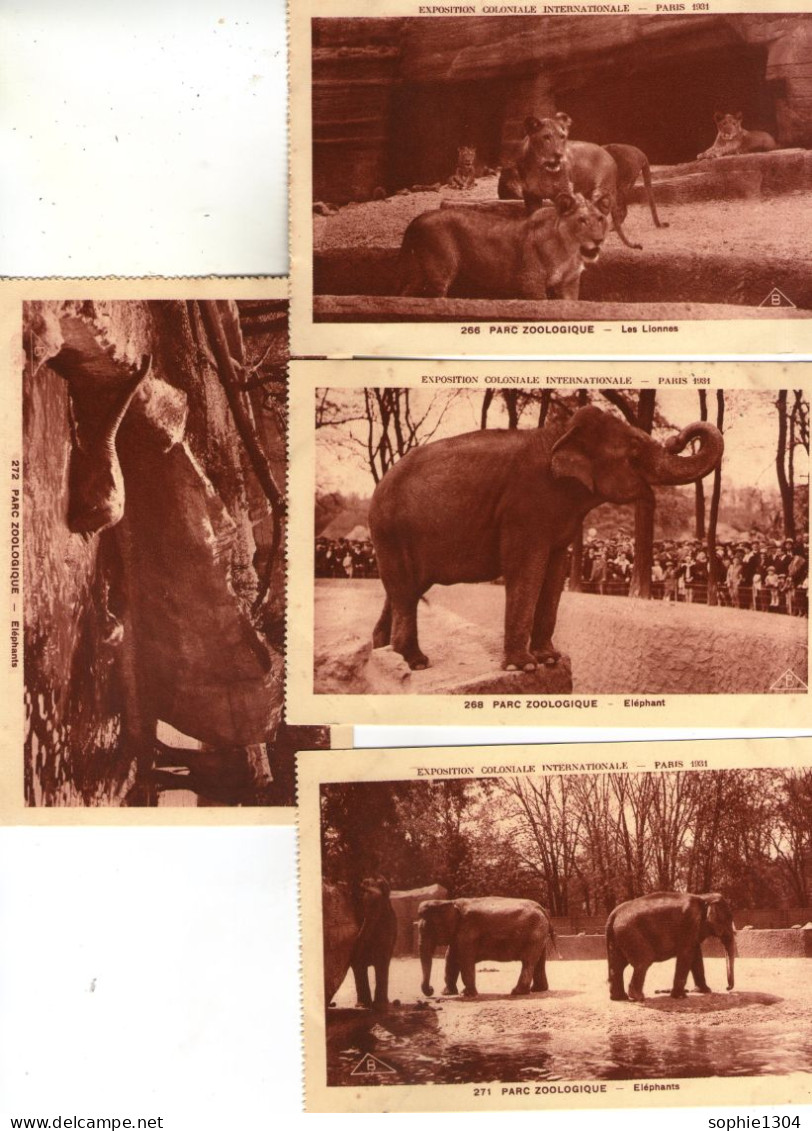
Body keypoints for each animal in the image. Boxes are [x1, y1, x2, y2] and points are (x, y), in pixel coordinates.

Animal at [323, 873, 400, 1008]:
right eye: (360, 904)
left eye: (381, 905)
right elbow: (358, 964)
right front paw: (363, 1006)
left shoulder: (388, 923)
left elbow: (381, 960)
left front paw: (379, 1006)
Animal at [368, 404, 723, 669]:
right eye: (634, 452)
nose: (679, 438)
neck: (560, 432)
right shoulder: (525, 506)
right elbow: (527, 569)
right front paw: (523, 666)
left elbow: (554, 571)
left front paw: (550, 659)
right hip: (391, 532)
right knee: (404, 590)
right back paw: (415, 661)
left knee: (403, 590)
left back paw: (384, 652)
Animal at [416, 895, 556, 995]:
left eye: (430, 929)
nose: (431, 989)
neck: (451, 902)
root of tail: (542, 908)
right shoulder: (458, 936)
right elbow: (450, 959)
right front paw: (447, 993)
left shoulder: (467, 933)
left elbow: (465, 960)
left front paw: (466, 994)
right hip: (539, 934)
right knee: (539, 961)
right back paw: (538, 990)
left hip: (534, 933)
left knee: (528, 961)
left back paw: (517, 992)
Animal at [606, 886, 737, 1004]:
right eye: (729, 919)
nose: (727, 988)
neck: (704, 897)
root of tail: (613, 914)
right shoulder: (689, 922)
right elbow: (687, 954)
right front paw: (680, 996)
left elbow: (695, 954)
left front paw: (705, 990)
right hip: (631, 934)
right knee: (643, 961)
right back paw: (638, 997)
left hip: (618, 936)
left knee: (617, 965)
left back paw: (620, 997)